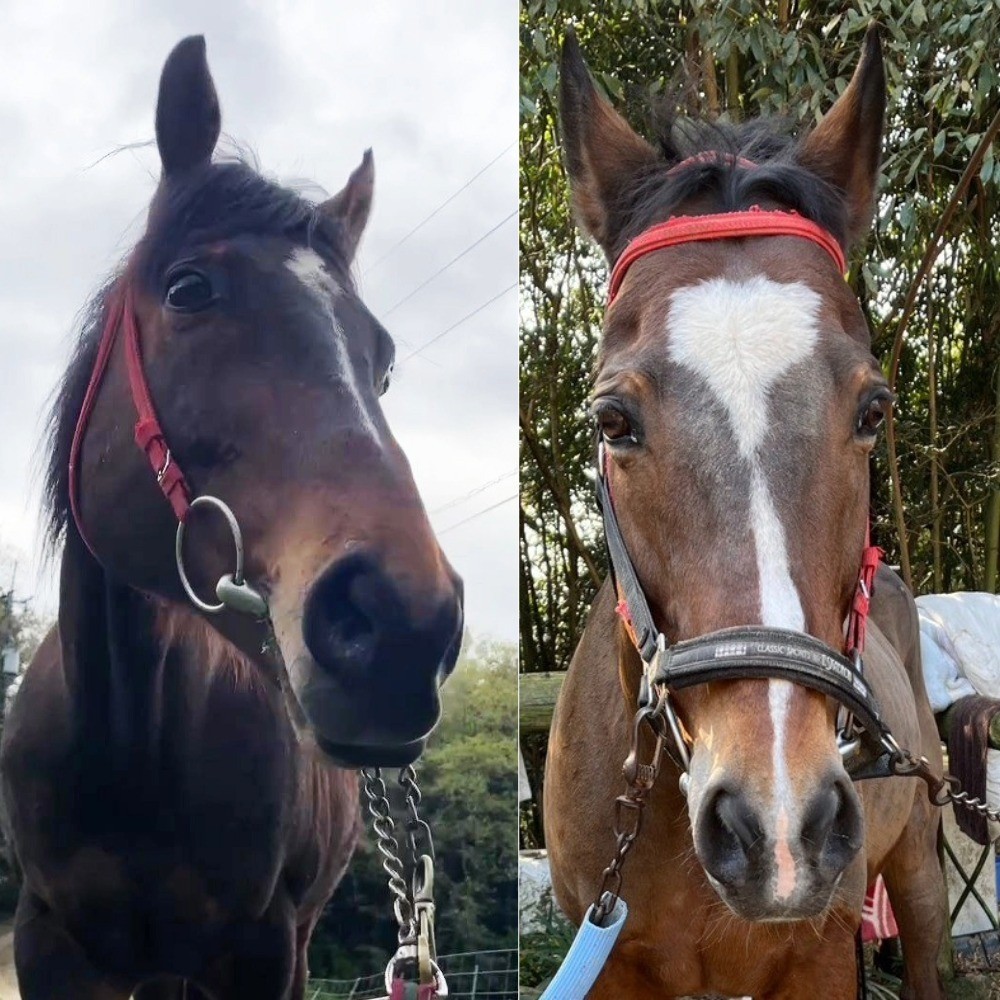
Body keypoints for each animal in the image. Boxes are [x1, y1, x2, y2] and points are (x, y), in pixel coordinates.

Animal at [0, 35, 463, 1000]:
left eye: (383, 362)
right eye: (188, 289)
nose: (403, 623)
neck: (129, 745)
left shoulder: (265, 949)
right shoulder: (47, 942)